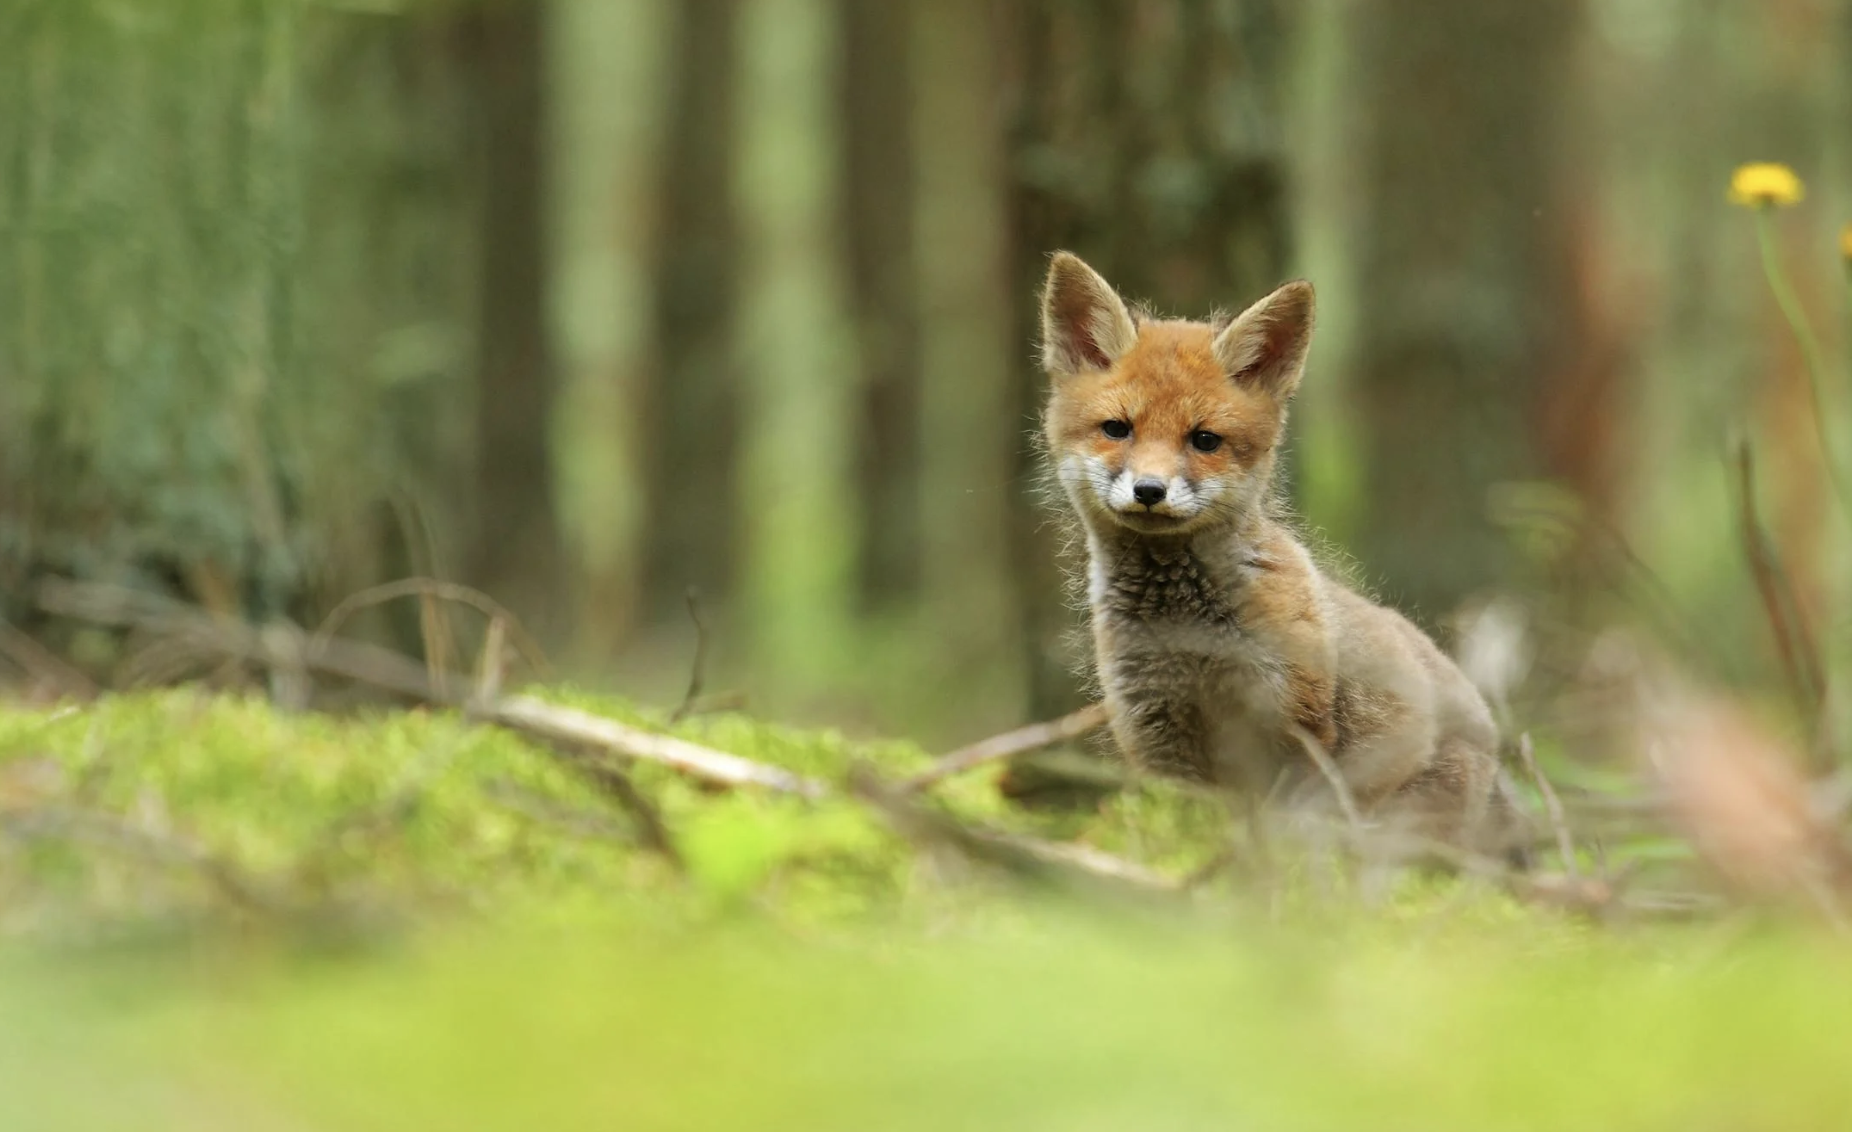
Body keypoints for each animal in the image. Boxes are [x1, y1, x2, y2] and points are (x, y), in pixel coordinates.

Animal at [1038, 251, 1526, 859]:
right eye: (1116, 429)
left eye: (1204, 440)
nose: (1150, 490)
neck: (1188, 636)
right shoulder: (1157, 737)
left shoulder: (1297, 725)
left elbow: (1286, 840)